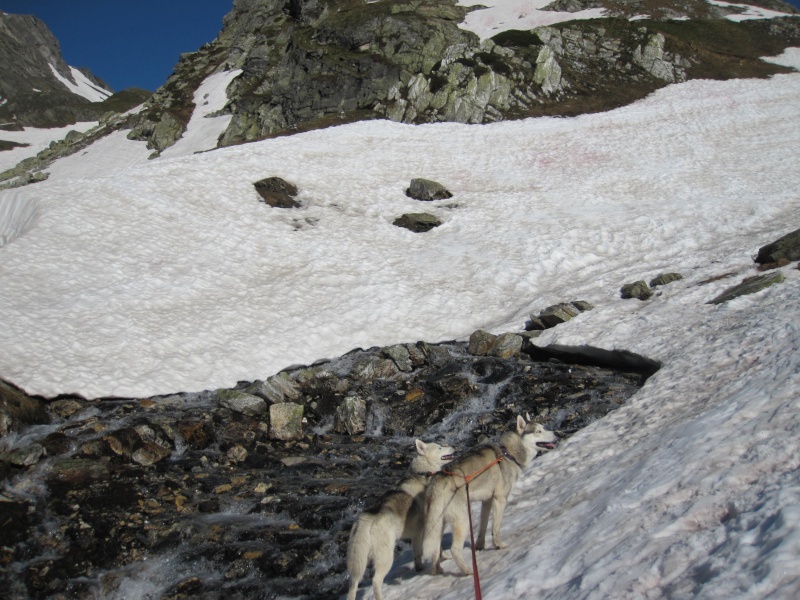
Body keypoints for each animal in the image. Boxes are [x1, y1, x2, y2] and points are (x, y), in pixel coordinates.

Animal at [346, 436, 454, 600]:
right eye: (440, 447)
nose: (453, 447)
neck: (425, 473)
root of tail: (368, 518)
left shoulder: (417, 535)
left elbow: (417, 555)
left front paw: (420, 568)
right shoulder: (429, 527)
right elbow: (436, 546)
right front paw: (444, 557)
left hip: (359, 560)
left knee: (353, 584)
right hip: (385, 557)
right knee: (376, 580)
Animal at [424, 418, 556, 576]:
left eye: (543, 428)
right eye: (538, 431)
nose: (555, 434)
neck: (507, 453)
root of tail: (438, 480)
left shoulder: (486, 501)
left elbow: (483, 526)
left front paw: (480, 546)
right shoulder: (500, 500)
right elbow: (495, 529)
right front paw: (498, 545)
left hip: (438, 526)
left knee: (436, 550)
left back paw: (438, 570)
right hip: (463, 521)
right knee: (454, 549)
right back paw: (468, 571)